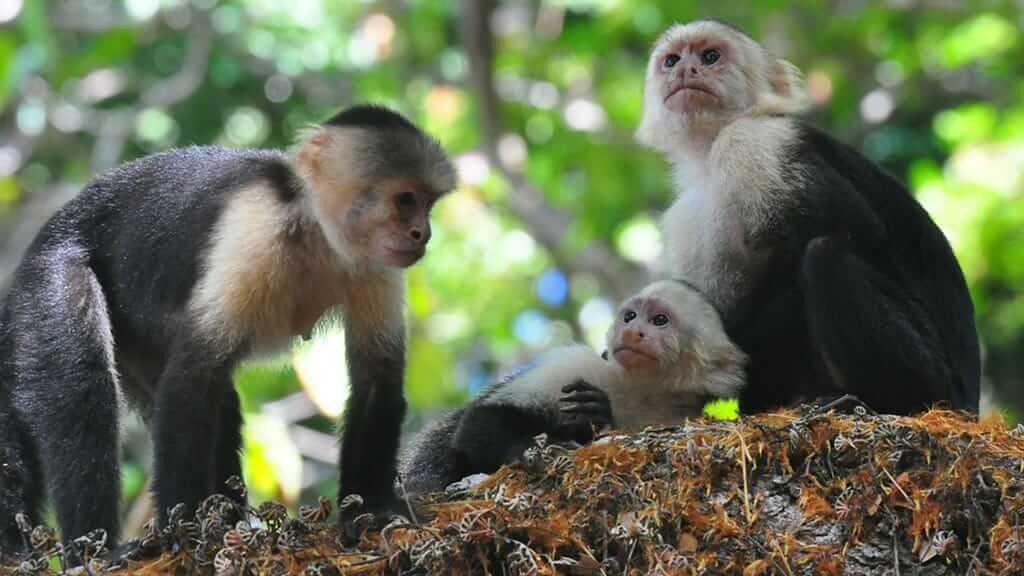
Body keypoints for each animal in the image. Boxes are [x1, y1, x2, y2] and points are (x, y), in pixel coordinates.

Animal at [0, 103, 456, 553]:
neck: (316, 232)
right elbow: (192, 377)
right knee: (83, 390)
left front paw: (372, 509)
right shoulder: (257, 227)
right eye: (404, 200)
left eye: (427, 203)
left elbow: (375, 380)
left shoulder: (376, 264)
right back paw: (96, 548)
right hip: (50, 273)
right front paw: (180, 532)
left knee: (218, 401)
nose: (422, 234)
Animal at [397, 278, 745, 494]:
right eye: (630, 316)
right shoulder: (580, 365)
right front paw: (529, 449)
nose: (631, 332)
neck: (642, 390)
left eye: (660, 320)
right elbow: (480, 421)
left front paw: (596, 416)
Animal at [634, 20, 978, 414]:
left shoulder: (756, 142)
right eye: (671, 60)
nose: (684, 70)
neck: (709, 153)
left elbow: (857, 231)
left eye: (710, 56)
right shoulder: (686, 214)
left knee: (825, 256)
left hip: (937, 379)